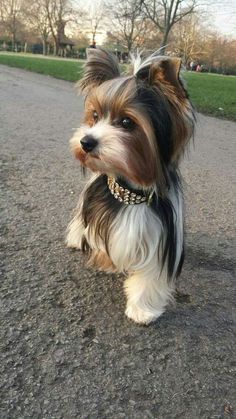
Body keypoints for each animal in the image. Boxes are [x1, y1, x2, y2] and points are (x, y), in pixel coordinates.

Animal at [66, 48, 194, 324]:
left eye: (126, 122)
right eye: (94, 116)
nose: (86, 142)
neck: (131, 191)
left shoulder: (162, 234)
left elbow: (151, 276)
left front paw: (142, 310)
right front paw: (106, 261)